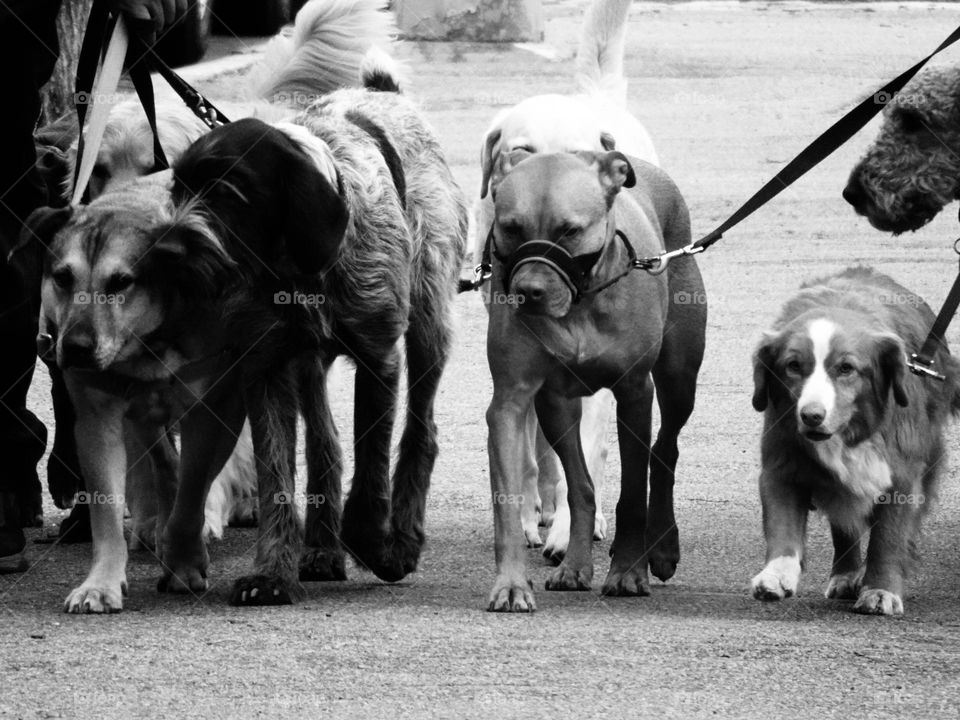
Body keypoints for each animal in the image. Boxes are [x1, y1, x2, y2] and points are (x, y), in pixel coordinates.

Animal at [488, 149, 704, 612]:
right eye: (511, 228)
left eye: (570, 231)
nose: (527, 291)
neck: (580, 304)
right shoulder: (511, 402)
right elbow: (513, 501)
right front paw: (511, 584)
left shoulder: (635, 391)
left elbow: (632, 492)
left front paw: (627, 573)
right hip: (557, 406)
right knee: (581, 485)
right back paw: (574, 565)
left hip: (679, 376)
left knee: (666, 448)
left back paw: (662, 546)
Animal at [752, 268, 960, 616]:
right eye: (793, 366)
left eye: (846, 368)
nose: (811, 416)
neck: (849, 433)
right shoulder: (781, 465)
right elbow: (782, 525)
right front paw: (776, 574)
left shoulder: (902, 478)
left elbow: (887, 540)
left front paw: (880, 589)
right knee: (844, 525)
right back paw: (845, 574)